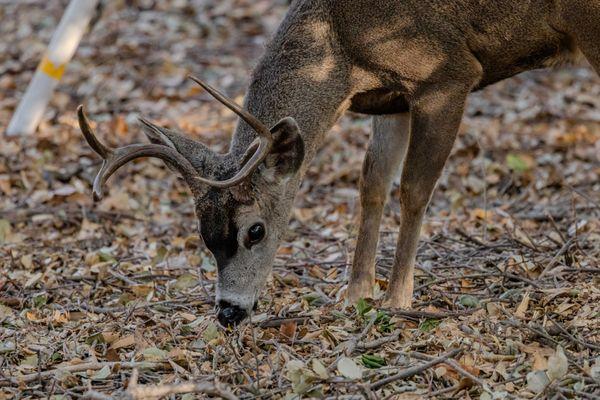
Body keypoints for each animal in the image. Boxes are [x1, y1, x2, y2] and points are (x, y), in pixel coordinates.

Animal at [77, 0, 596, 326]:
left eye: (255, 231)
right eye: (204, 235)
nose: (228, 313)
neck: (339, 48)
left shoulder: (448, 76)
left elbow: (414, 189)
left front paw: (398, 297)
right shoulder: (393, 100)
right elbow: (373, 184)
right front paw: (355, 293)